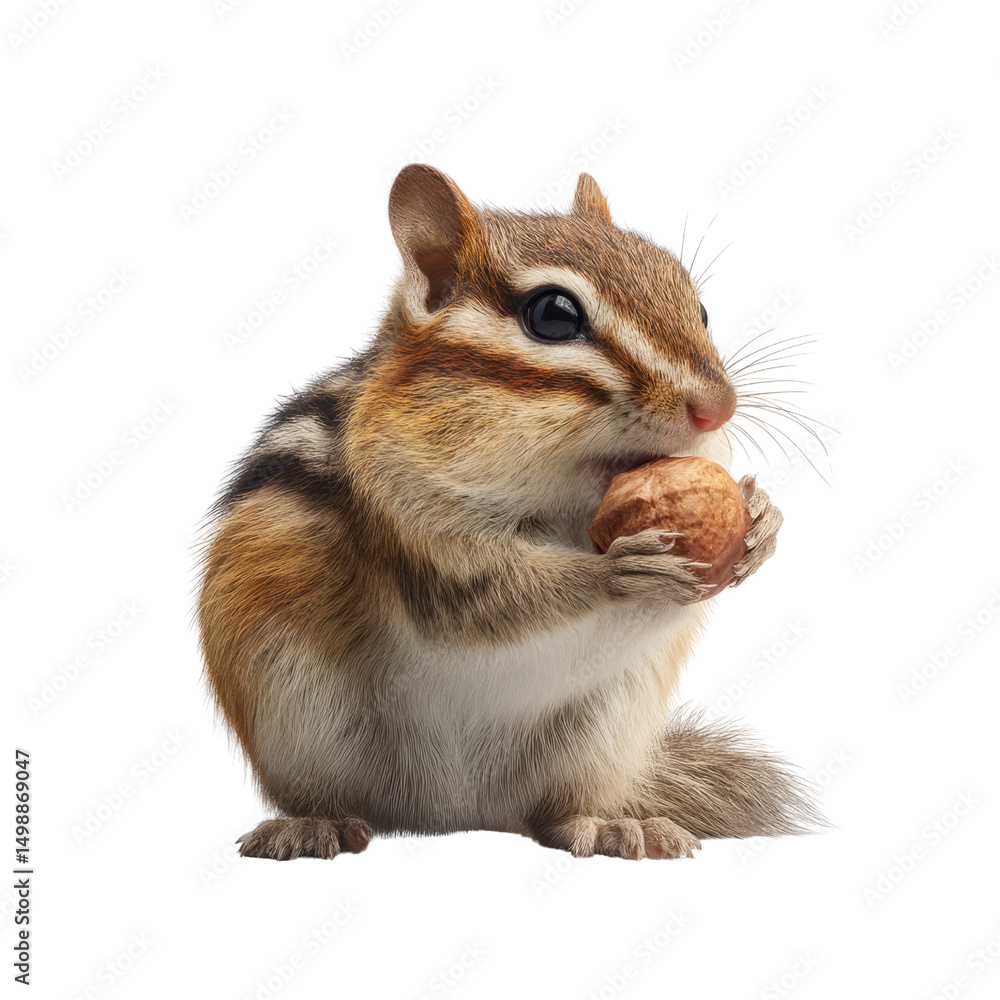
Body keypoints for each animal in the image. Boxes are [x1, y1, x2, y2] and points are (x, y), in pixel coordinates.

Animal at [197, 164, 823, 862]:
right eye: (553, 315)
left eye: (702, 308)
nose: (718, 408)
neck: (562, 504)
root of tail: (455, 814)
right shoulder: (410, 525)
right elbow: (488, 598)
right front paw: (617, 572)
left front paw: (762, 520)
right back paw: (313, 824)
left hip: (599, 738)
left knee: (552, 815)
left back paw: (610, 825)